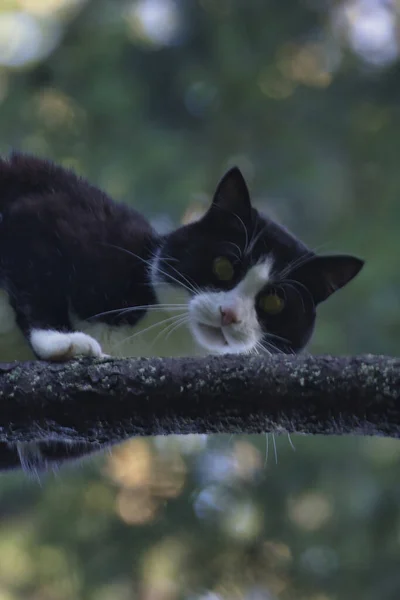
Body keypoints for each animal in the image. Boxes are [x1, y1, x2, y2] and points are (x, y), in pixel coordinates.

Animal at [0, 151, 364, 474]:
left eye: (274, 302)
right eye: (223, 266)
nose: (229, 314)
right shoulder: (52, 216)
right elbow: (38, 272)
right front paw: (61, 343)